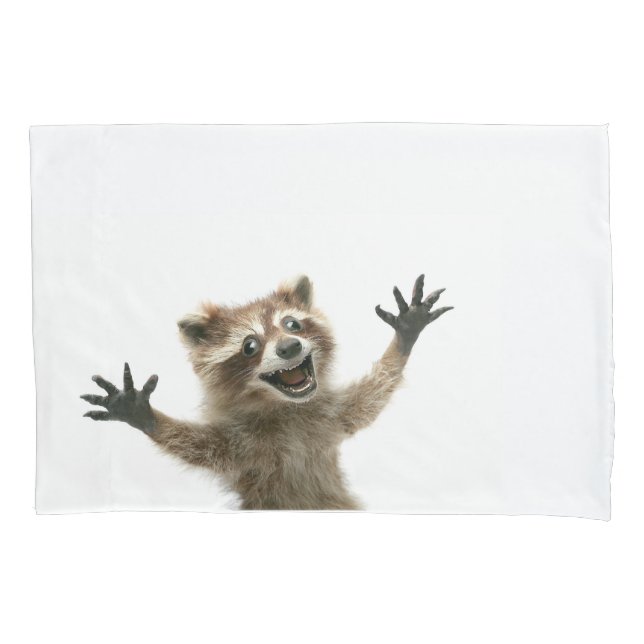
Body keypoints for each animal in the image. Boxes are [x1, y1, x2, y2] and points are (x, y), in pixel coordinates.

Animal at [81, 274, 452, 510]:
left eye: (293, 324)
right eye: (249, 346)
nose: (290, 347)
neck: (287, 408)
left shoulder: (329, 418)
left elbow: (371, 395)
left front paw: (401, 342)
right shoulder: (245, 446)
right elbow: (201, 446)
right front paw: (147, 416)